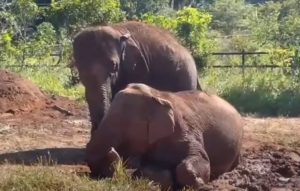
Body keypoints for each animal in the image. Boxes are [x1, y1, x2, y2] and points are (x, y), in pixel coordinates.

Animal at [85, 83, 244, 190]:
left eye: (123, 122)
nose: (112, 150)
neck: (158, 96)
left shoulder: (187, 129)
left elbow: (201, 159)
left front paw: (198, 183)